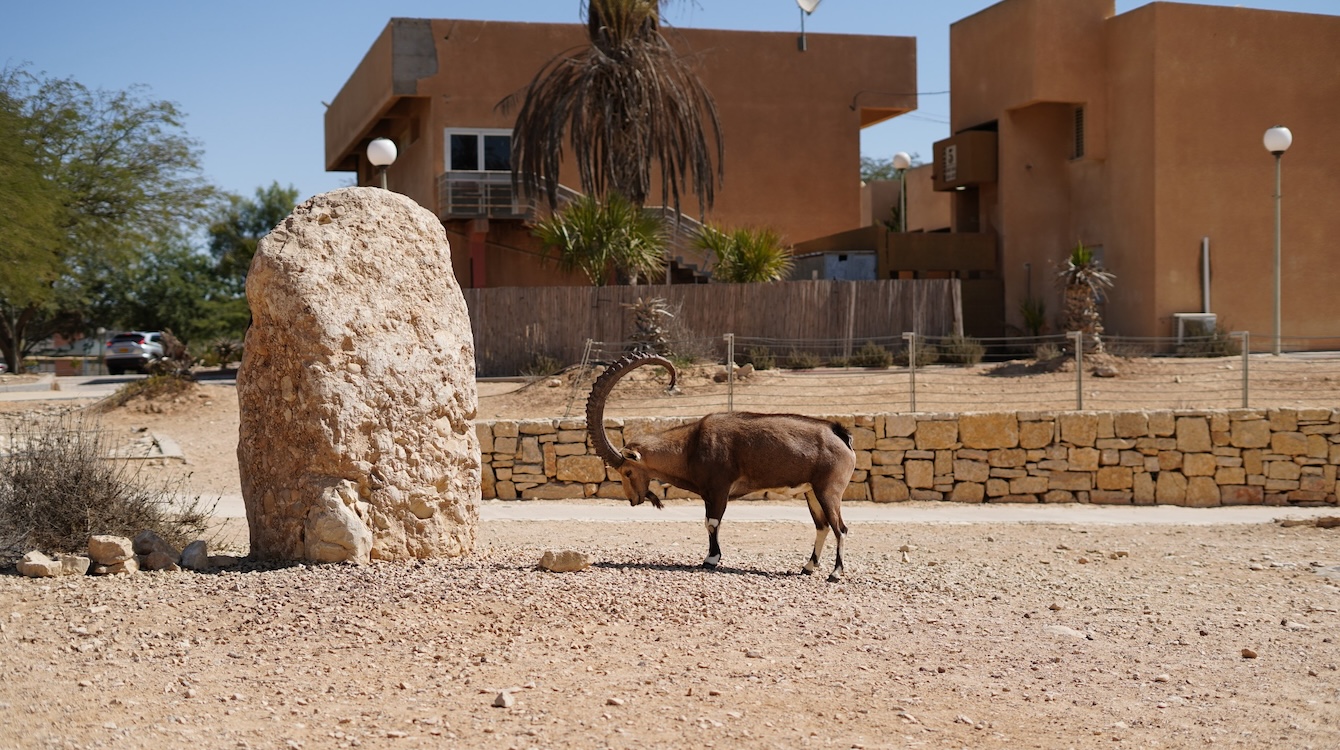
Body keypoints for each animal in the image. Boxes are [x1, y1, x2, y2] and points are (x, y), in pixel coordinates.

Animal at [586, 352, 857, 581]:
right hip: (812, 492)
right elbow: (708, 521)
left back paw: (835, 573)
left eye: (627, 471)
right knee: (822, 526)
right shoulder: (708, 493)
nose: (633, 500)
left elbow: (712, 522)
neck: (690, 446)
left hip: (829, 491)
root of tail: (840, 435)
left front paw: (710, 559)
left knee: (841, 528)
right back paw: (807, 567)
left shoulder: (719, 489)